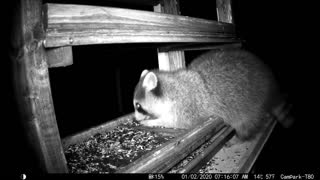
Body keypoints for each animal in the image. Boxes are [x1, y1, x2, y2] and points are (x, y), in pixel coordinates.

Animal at [132, 47, 282, 141]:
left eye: (138, 106)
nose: (135, 119)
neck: (171, 89)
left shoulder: (186, 106)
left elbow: (178, 122)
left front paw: (152, 122)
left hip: (252, 109)